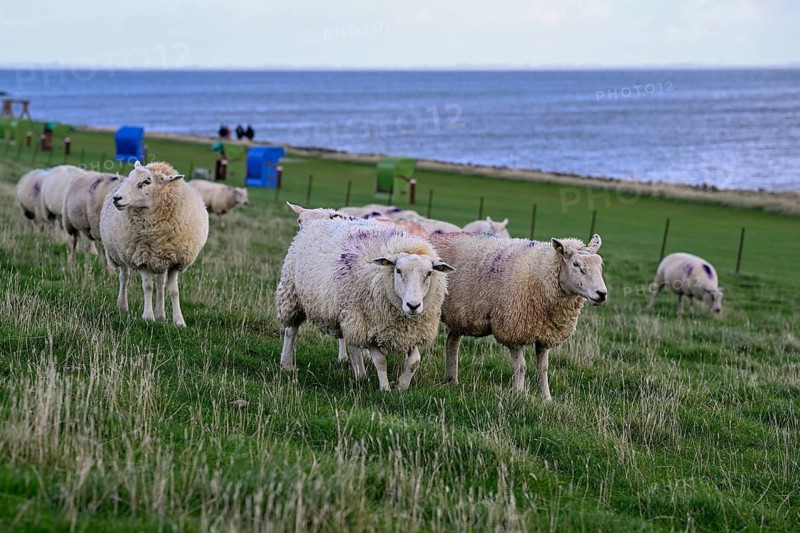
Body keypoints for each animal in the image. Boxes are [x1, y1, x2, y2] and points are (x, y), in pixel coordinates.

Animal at [100, 161, 208, 327]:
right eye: (130, 177)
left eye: (146, 182)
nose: (116, 198)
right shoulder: (141, 257)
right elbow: (147, 287)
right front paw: (148, 317)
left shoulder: (176, 261)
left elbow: (173, 291)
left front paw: (179, 321)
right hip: (123, 253)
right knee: (124, 278)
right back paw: (123, 305)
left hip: (161, 259)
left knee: (160, 284)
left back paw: (161, 314)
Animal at [275, 219, 455, 391]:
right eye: (398, 270)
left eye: (429, 273)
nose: (413, 305)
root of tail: (319, 220)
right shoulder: (367, 327)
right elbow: (381, 360)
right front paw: (385, 388)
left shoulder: (412, 332)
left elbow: (414, 361)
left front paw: (401, 386)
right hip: (293, 296)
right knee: (290, 331)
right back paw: (287, 364)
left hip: (349, 315)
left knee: (352, 344)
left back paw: (359, 374)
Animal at [431, 233, 607, 400]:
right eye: (576, 265)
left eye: (600, 265)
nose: (602, 294)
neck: (540, 274)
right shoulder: (512, 330)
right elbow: (521, 367)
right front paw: (519, 394)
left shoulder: (545, 333)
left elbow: (543, 368)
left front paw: (547, 398)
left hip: (460, 315)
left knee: (451, 343)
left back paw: (452, 380)